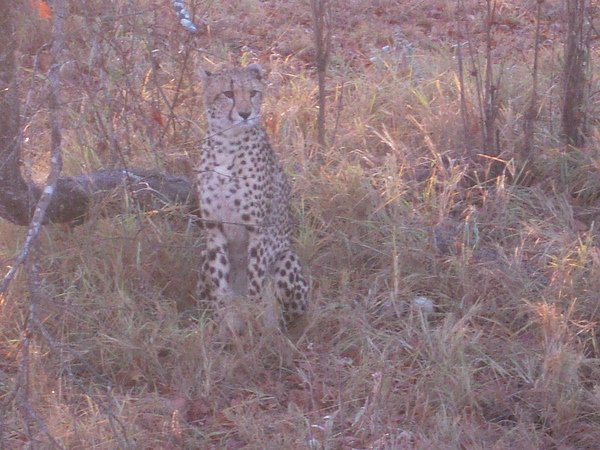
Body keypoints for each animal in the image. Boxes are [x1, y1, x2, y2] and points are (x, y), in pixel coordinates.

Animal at [197, 63, 310, 328]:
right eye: (228, 93)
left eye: (253, 93)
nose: (245, 113)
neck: (226, 144)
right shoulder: (214, 228)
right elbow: (220, 282)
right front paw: (224, 323)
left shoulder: (257, 229)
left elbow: (256, 280)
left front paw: (255, 320)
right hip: (204, 258)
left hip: (285, 259)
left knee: (289, 313)